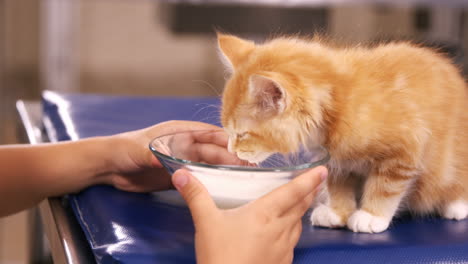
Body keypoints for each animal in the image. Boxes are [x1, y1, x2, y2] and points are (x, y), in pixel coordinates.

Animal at [218, 33, 468, 233]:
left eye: (242, 134)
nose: (231, 148)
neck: (336, 105)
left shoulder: (404, 150)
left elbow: (385, 187)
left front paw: (371, 215)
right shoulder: (336, 160)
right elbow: (338, 185)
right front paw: (337, 212)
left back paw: (457, 204)